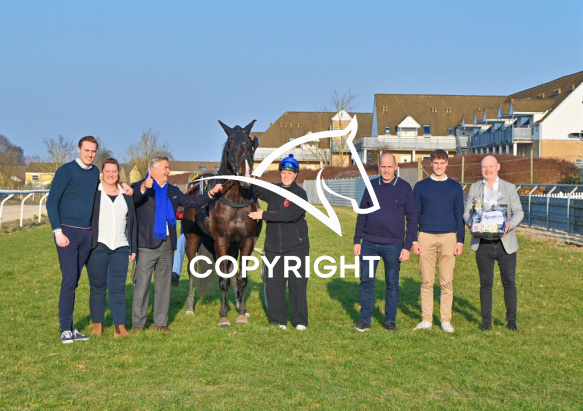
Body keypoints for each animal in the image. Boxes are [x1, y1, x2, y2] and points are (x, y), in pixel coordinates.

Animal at [182, 120, 262, 327]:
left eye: (251, 144)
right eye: (230, 145)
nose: (245, 175)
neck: (235, 200)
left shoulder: (246, 241)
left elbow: (241, 278)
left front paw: (242, 312)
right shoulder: (221, 241)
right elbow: (223, 280)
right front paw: (224, 316)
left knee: (233, 271)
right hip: (192, 239)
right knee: (192, 270)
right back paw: (189, 306)